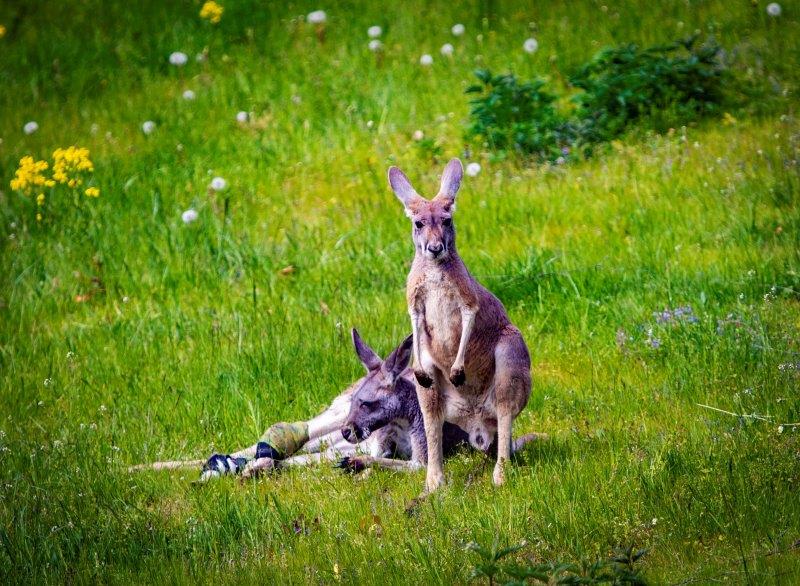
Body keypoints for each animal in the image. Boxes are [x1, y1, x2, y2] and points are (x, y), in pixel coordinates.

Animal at [387, 158, 532, 492]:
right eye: (418, 224)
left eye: (447, 220)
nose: (435, 248)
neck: (435, 268)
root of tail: (477, 424)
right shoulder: (415, 302)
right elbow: (416, 326)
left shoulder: (467, 299)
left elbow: (468, 320)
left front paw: (457, 369)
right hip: (428, 394)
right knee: (432, 423)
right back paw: (434, 483)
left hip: (510, 353)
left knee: (506, 417)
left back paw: (500, 476)